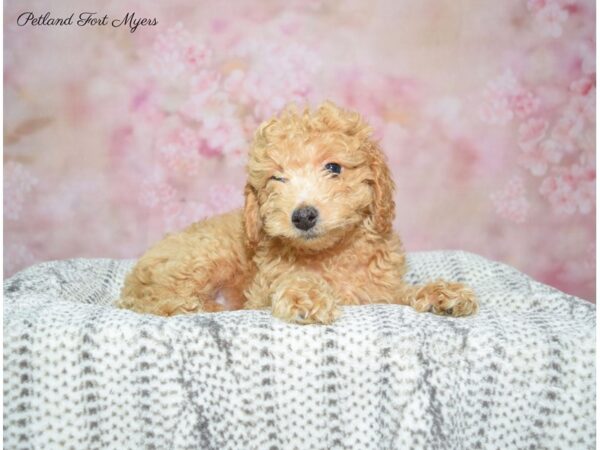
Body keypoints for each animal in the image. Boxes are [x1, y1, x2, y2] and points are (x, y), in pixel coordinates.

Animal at [118, 101, 478, 324]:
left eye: (333, 167)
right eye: (277, 178)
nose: (302, 216)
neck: (329, 254)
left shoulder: (378, 291)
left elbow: (400, 293)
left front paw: (441, 293)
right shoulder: (262, 288)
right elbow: (293, 278)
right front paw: (306, 295)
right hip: (203, 257)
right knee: (152, 300)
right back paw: (197, 305)